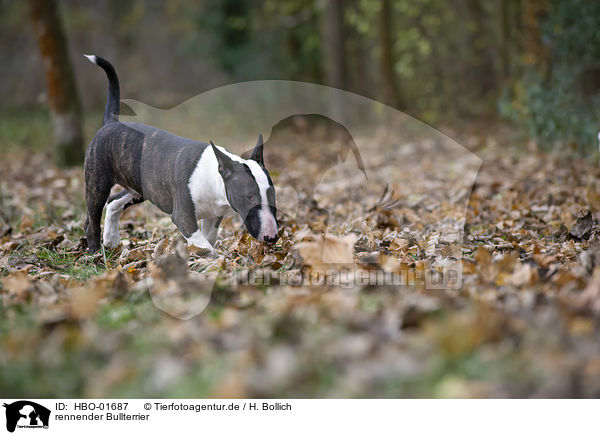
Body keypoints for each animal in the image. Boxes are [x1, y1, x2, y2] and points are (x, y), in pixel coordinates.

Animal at [82, 57, 278, 255]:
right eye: (250, 197)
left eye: (272, 194)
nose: (272, 237)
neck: (214, 176)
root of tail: (110, 123)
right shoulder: (183, 217)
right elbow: (205, 246)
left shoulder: (213, 217)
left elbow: (208, 239)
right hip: (97, 183)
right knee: (93, 219)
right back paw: (95, 252)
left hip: (139, 188)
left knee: (113, 202)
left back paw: (111, 240)